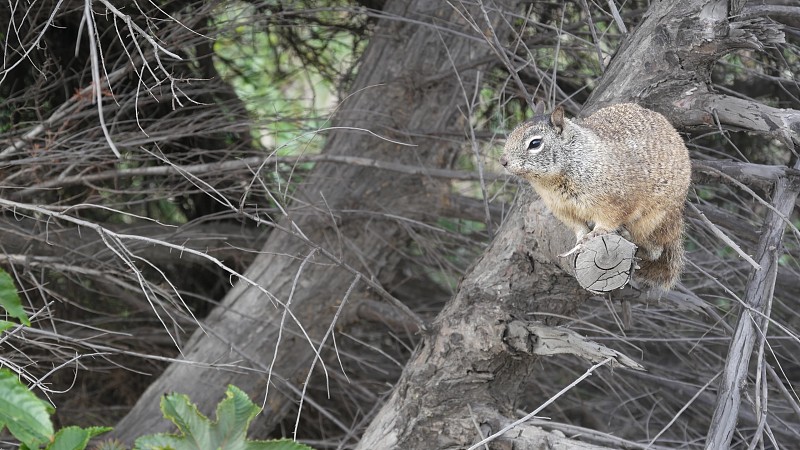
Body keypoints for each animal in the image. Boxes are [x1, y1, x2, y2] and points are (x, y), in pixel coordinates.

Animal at [504, 103, 692, 288]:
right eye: (512, 133)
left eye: (535, 143)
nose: (503, 161)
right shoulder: (562, 210)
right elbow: (578, 226)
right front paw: (580, 239)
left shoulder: (615, 202)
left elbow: (609, 220)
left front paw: (596, 232)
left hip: (652, 221)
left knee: (655, 250)